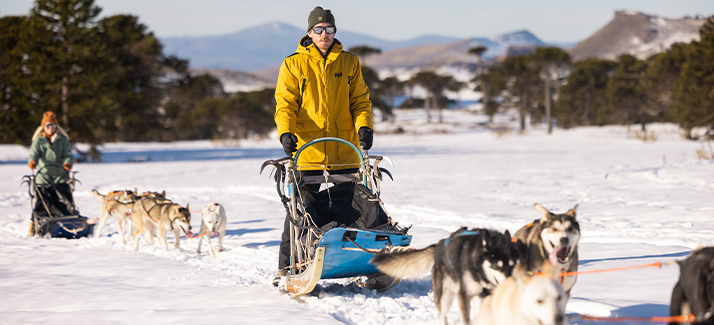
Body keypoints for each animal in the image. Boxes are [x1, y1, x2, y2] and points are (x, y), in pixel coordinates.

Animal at [370, 227, 520, 324]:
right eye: (497, 266)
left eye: (512, 265)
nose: (510, 283)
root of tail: (440, 244)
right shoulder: (463, 295)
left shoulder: (484, 295)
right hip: (444, 297)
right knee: (442, 316)